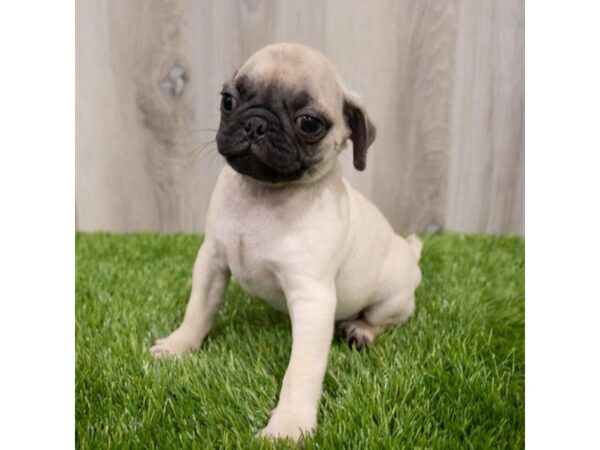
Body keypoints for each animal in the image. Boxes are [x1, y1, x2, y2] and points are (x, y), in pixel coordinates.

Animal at [152, 44, 424, 442]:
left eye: (309, 123)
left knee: (384, 319)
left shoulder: (312, 300)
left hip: (390, 299)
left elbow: (301, 370)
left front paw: (289, 425)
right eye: (228, 101)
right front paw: (179, 346)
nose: (256, 123)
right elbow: (198, 311)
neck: (263, 195)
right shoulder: (211, 262)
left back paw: (360, 331)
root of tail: (410, 252)